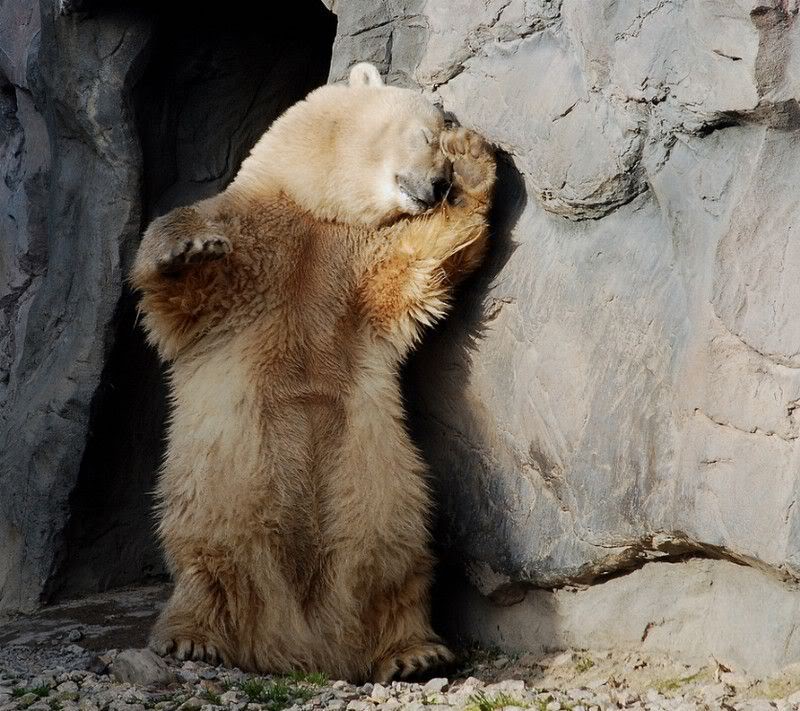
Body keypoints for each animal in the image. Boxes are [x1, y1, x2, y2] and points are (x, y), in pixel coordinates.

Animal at [130, 62, 496, 683]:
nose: (432, 189)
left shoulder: (356, 266)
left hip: (378, 475)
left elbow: (414, 269)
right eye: (425, 138)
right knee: (209, 549)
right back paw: (192, 638)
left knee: (394, 551)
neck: (315, 209)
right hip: (220, 480)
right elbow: (189, 281)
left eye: (442, 172)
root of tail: (299, 639)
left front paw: (473, 164)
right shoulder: (260, 243)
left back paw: (412, 651)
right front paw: (189, 247)